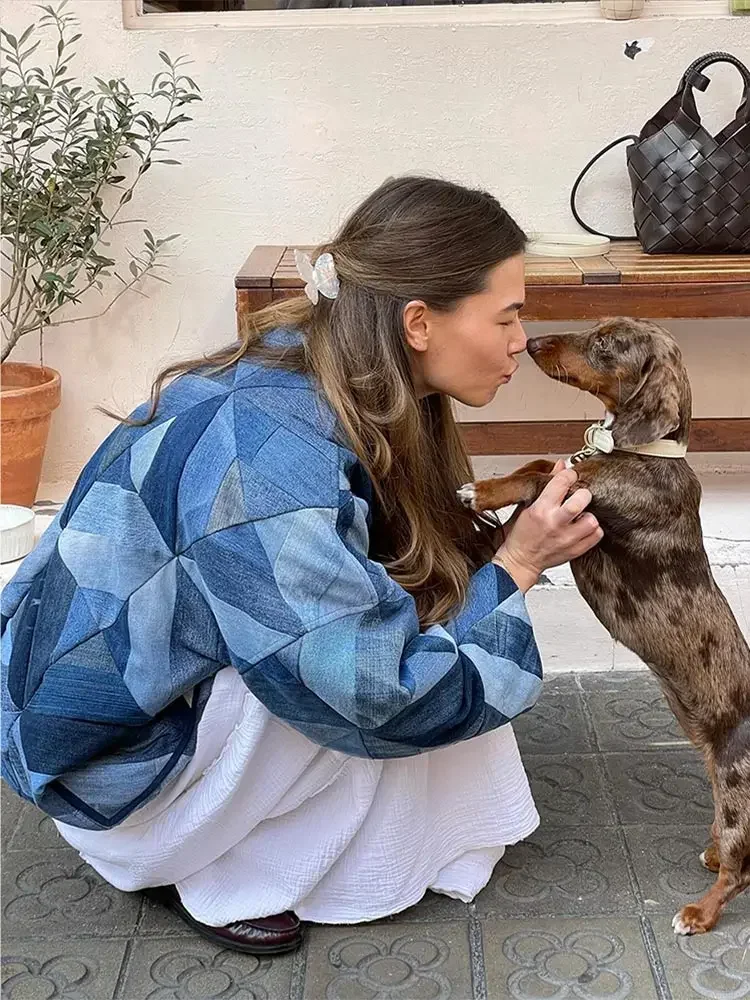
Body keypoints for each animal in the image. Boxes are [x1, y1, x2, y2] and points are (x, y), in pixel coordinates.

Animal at [462, 320, 750, 936]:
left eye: (606, 343)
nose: (531, 342)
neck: (643, 454)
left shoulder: (587, 496)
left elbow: (543, 475)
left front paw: (483, 490)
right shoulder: (573, 478)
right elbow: (541, 464)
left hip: (738, 784)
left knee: (739, 872)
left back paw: (698, 912)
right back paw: (712, 852)